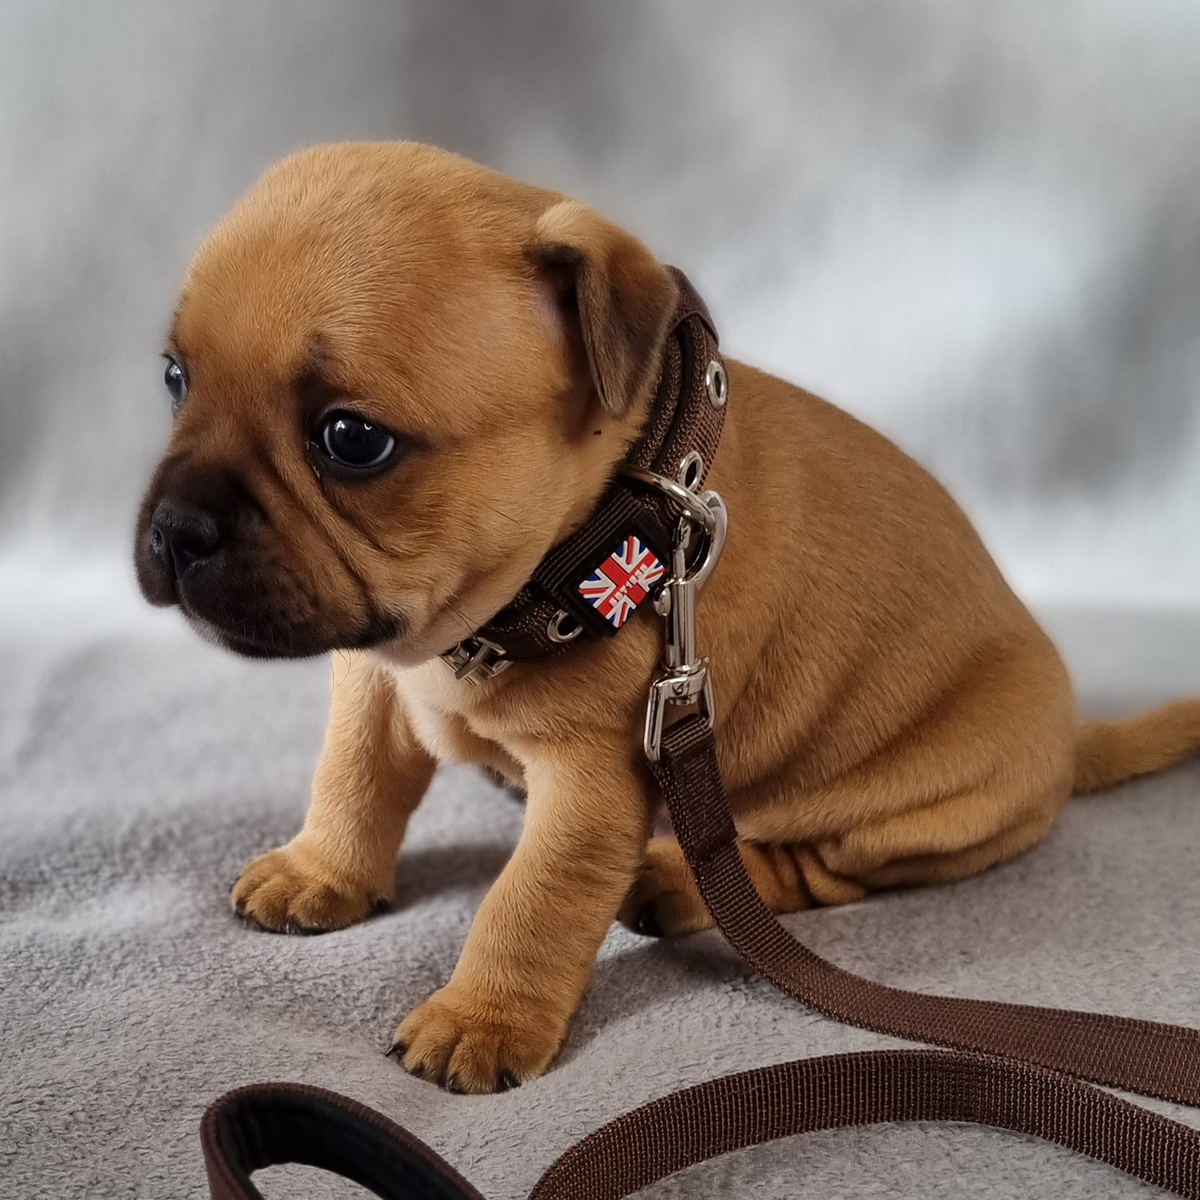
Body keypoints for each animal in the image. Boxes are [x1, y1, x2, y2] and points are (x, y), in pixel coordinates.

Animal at [136, 142, 1200, 1099]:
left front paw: (483, 1019)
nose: (175, 529)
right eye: (175, 380)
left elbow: (531, 898)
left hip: (928, 803)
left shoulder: (592, 783)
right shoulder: (372, 684)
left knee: (816, 870)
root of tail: (1069, 744)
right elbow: (351, 780)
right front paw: (321, 870)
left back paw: (677, 883)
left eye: (352, 440)